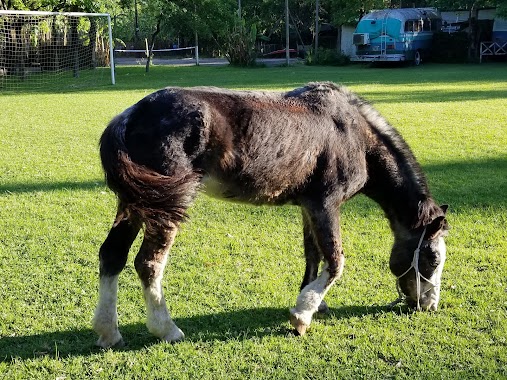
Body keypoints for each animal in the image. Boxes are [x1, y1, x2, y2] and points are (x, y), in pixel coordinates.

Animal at [93, 82, 450, 348]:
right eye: (432, 257)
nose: (429, 305)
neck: (355, 136)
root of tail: (131, 115)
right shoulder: (326, 204)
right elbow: (335, 261)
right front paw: (302, 317)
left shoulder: (308, 207)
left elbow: (313, 256)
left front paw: (313, 304)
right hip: (165, 209)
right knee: (148, 263)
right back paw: (166, 329)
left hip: (137, 204)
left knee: (112, 254)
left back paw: (109, 332)